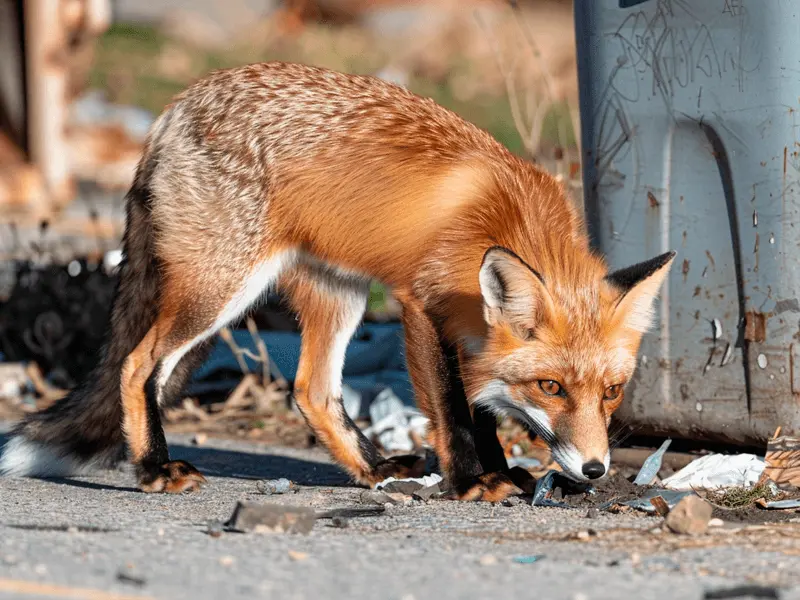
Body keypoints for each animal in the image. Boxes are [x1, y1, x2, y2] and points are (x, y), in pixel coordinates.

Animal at [0, 62, 674, 501]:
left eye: (612, 392)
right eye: (551, 387)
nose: (595, 470)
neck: (506, 222)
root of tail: (175, 107)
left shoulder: (470, 330)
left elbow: (481, 406)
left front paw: (501, 471)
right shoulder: (421, 305)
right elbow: (454, 410)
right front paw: (472, 481)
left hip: (337, 295)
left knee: (311, 391)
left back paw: (373, 472)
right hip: (218, 291)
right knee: (137, 365)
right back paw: (153, 470)